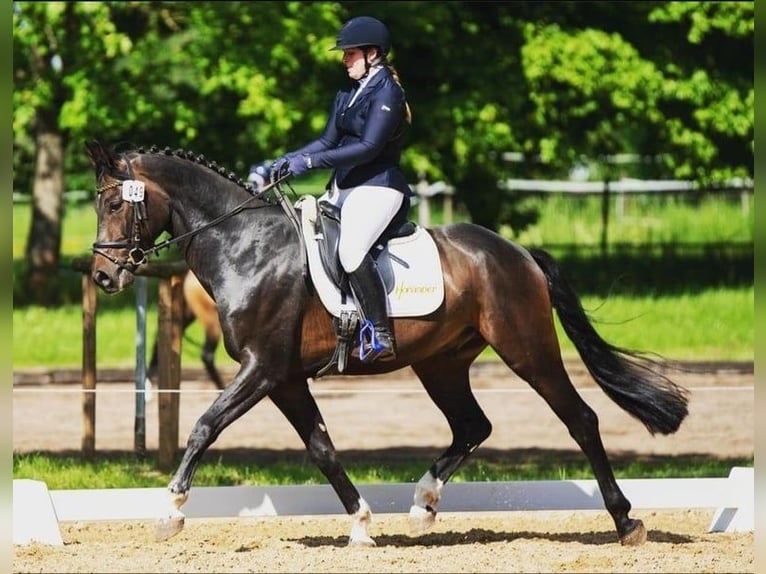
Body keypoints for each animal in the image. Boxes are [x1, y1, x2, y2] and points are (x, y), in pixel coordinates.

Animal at [84, 141, 688, 548]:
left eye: (115, 206)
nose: (104, 278)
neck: (244, 246)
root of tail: (517, 252)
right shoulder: (285, 378)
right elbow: (322, 449)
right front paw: (361, 525)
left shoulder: (262, 368)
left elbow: (205, 426)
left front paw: (171, 511)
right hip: (441, 364)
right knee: (473, 425)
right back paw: (423, 505)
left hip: (527, 349)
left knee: (580, 419)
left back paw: (626, 520)